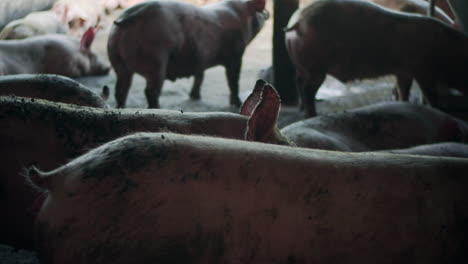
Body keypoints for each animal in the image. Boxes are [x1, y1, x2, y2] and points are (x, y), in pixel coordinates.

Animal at [284, 0, 468, 116]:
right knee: (307, 90)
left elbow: (404, 89)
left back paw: (303, 109)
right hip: (315, 68)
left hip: (302, 67)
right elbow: (431, 95)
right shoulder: (422, 71)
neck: (444, 48)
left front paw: (403, 102)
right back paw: (312, 115)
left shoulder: (404, 71)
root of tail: (297, 21)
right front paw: (439, 109)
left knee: (298, 82)